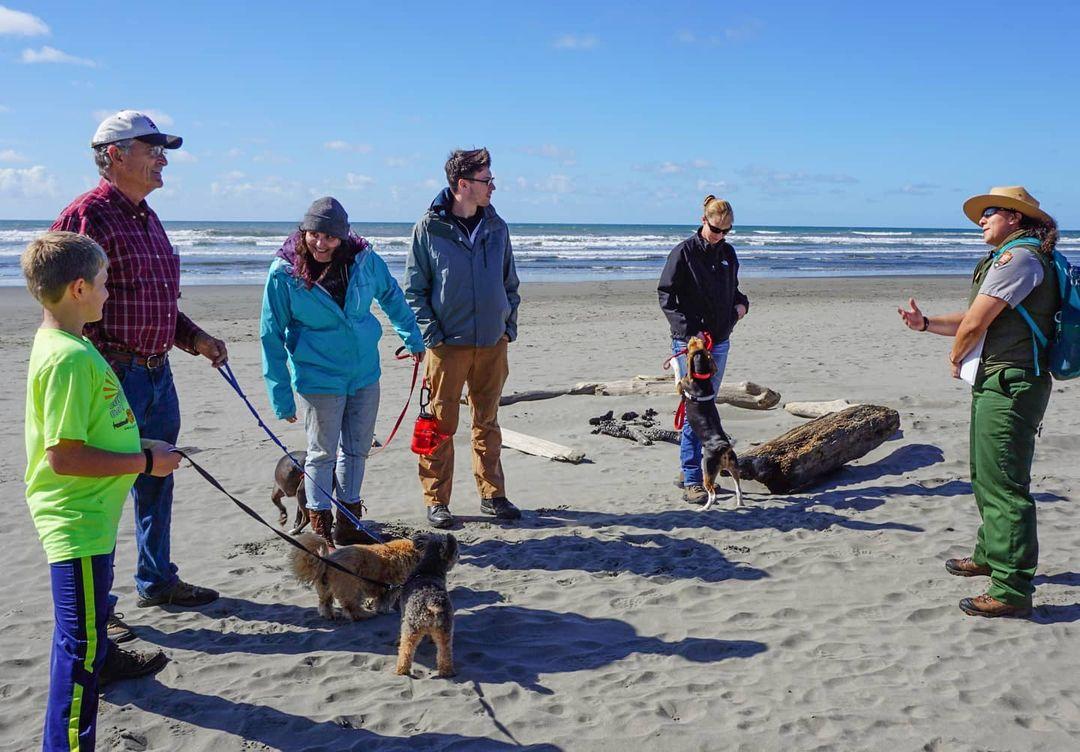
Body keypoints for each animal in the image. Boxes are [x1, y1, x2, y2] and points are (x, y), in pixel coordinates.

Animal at [289, 531, 423, 618]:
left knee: (324, 603)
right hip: (352, 587)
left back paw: (329, 615)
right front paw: (385, 611)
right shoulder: (391, 588)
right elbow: (384, 602)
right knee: (351, 607)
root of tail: (327, 561)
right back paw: (364, 614)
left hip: (325, 589)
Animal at [678, 334, 747, 512]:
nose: (694, 335)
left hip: (708, 472)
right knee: (738, 489)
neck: (701, 375)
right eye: (700, 344)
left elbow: (679, 383)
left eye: (693, 344)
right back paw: (740, 504)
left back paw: (704, 508)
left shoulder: (683, 383)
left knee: (712, 494)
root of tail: (723, 447)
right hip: (734, 469)